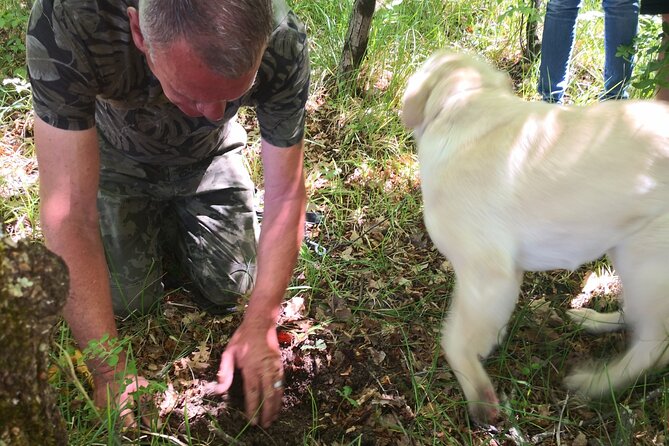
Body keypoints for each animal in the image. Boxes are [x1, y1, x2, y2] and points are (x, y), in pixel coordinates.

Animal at [402, 49, 668, 426]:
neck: (469, 103)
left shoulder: (487, 277)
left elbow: (454, 341)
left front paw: (480, 396)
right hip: (626, 248)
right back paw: (592, 320)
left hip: (645, 257)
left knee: (656, 345)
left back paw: (599, 382)